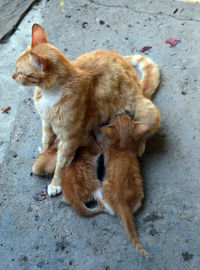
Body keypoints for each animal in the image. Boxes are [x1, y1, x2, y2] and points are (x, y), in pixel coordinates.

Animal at [12, 23, 161, 196]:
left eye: (21, 73)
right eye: (15, 67)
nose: (12, 76)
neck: (49, 93)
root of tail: (139, 87)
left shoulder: (69, 137)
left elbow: (61, 163)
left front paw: (55, 183)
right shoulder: (47, 124)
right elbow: (47, 143)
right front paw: (43, 155)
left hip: (146, 110)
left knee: (144, 130)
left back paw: (140, 145)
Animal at [95, 115, 150, 258]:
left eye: (116, 118)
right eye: (126, 117)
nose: (117, 114)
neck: (123, 148)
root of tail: (122, 203)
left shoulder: (105, 150)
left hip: (104, 191)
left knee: (106, 206)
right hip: (139, 196)